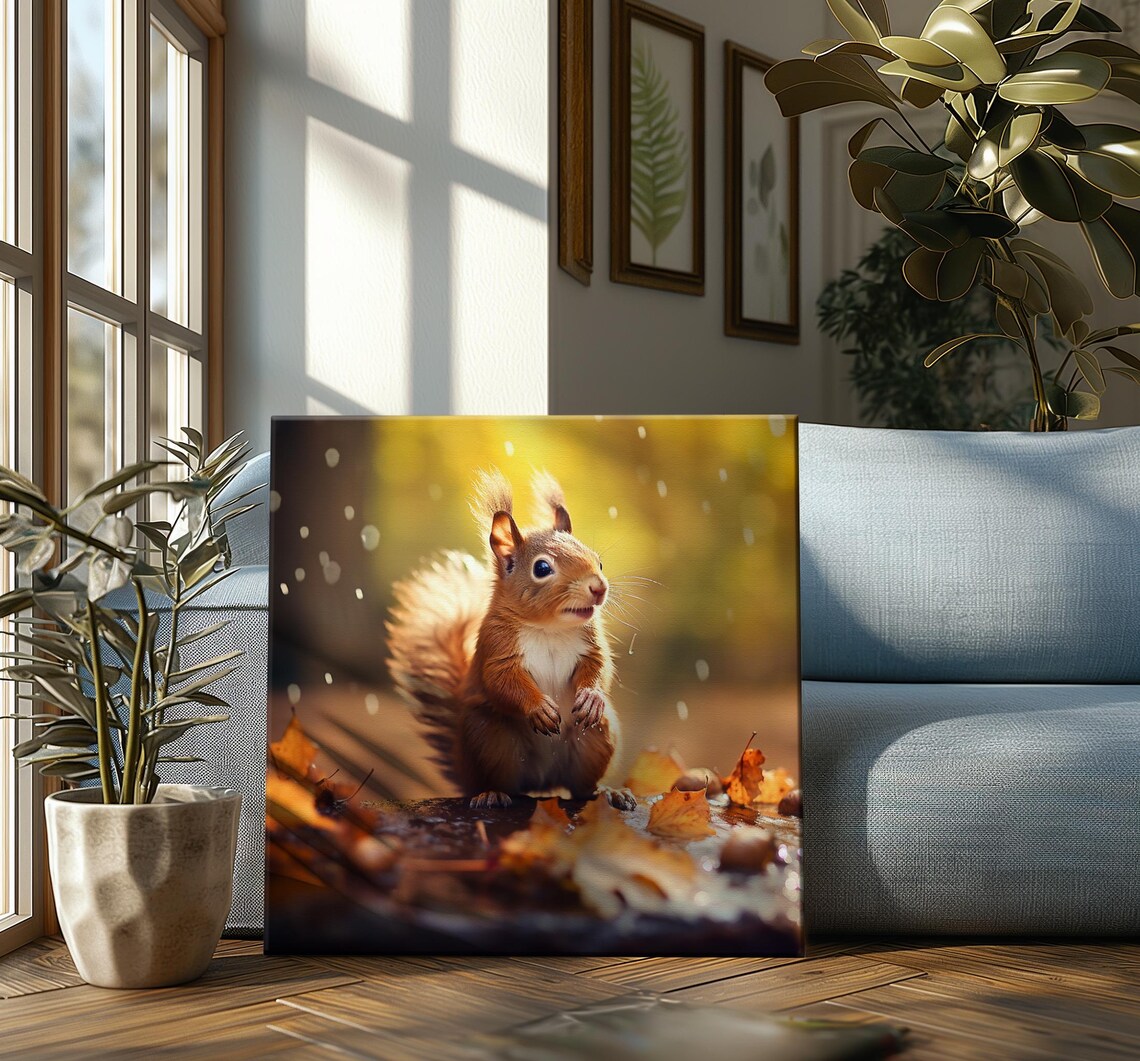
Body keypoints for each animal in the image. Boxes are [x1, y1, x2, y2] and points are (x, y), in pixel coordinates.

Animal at [386, 469, 635, 811]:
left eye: (598, 561)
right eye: (542, 568)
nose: (599, 588)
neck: (549, 628)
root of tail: (543, 784)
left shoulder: (591, 642)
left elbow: (600, 666)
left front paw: (591, 696)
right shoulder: (496, 645)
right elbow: (502, 680)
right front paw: (538, 708)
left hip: (596, 738)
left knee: (581, 788)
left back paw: (609, 793)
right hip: (490, 738)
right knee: (503, 782)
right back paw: (491, 794)